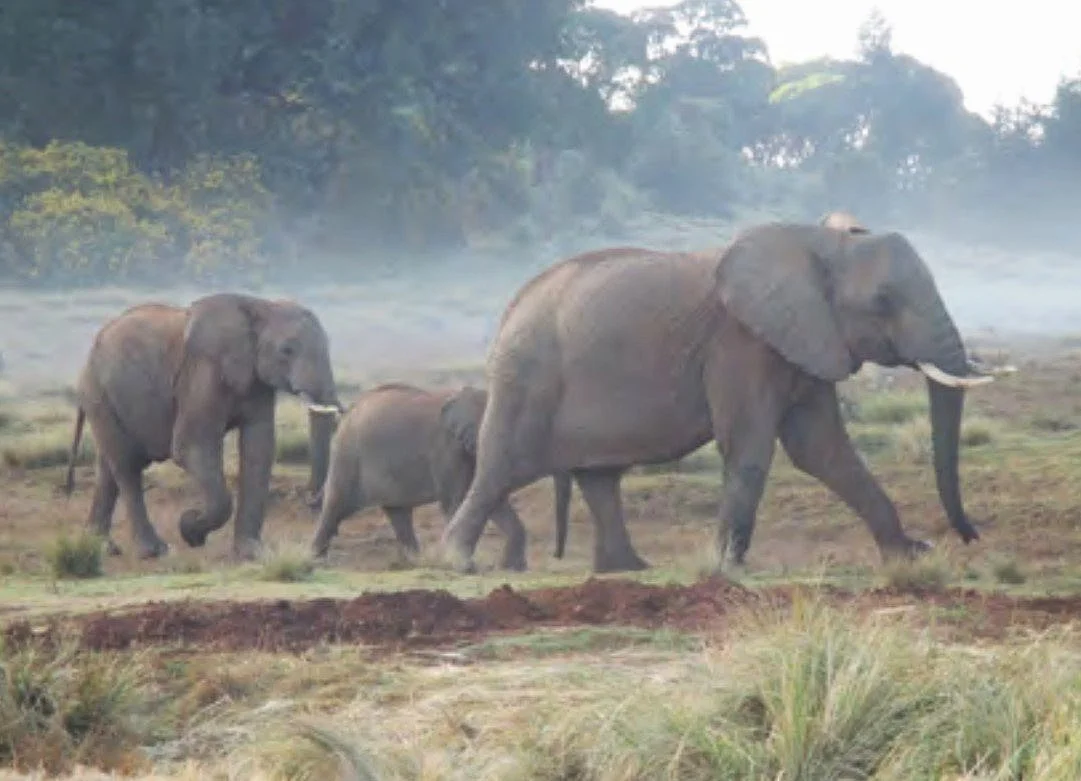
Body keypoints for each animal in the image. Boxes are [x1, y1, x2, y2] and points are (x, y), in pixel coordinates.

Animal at [63, 292, 343, 560]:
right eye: (287, 350)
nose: (310, 498)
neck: (261, 305)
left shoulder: (256, 381)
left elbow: (259, 450)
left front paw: (252, 553)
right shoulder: (202, 372)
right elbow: (191, 447)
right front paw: (190, 529)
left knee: (108, 469)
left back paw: (103, 547)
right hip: (99, 395)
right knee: (126, 466)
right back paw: (154, 551)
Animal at [309, 382, 574, 569]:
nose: (557, 555)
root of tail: (348, 411)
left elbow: (491, 501)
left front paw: (513, 568)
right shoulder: (447, 449)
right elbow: (456, 501)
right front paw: (463, 564)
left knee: (398, 513)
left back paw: (414, 562)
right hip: (347, 455)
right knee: (336, 506)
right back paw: (315, 560)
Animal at [439, 218, 999, 574]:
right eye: (883, 301)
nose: (969, 538)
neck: (819, 241)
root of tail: (511, 307)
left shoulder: (808, 338)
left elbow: (822, 450)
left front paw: (909, 555)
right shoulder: (740, 342)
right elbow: (751, 448)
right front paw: (727, 565)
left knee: (600, 480)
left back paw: (629, 569)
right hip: (526, 377)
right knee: (502, 467)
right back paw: (457, 562)